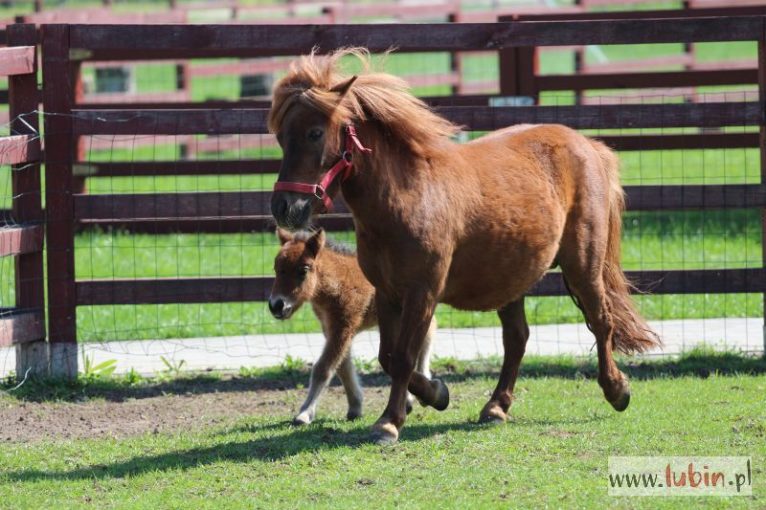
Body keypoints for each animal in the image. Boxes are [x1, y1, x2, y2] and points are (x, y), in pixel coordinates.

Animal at [269, 227, 435, 425]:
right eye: (276, 268)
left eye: (303, 270)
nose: (276, 305)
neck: (338, 282)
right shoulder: (332, 329)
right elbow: (344, 368)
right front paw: (355, 407)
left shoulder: (343, 327)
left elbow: (323, 368)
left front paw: (304, 413)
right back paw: (410, 400)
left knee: (427, 336)